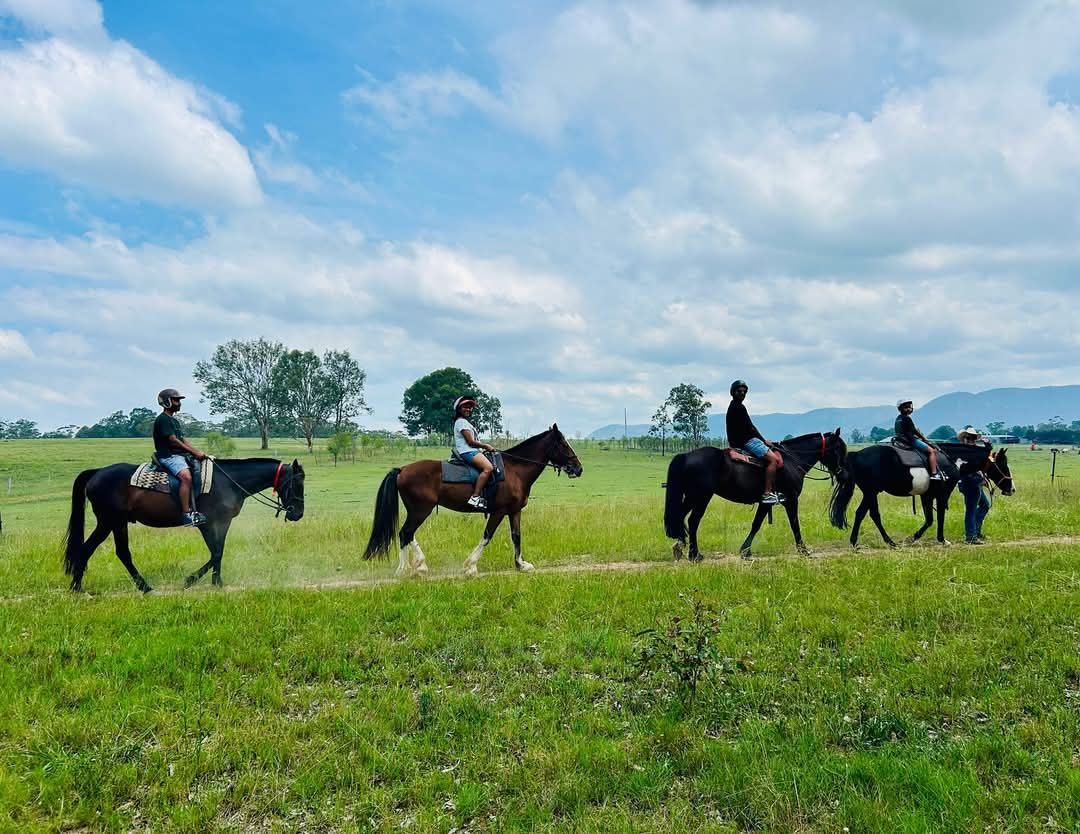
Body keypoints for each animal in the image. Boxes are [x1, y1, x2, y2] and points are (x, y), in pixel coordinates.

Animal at [63, 458, 305, 592]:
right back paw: (77, 587)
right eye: (296, 483)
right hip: (108, 521)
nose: (298, 513)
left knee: (122, 553)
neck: (228, 481)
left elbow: (218, 551)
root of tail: (97, 472)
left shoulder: (222, 523)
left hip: (119, 523)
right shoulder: (208, 523)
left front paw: (217, 582)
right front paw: (191, 580)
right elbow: (216, 552)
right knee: (87, 549)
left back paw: (144, 587)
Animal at [363, 425, 583, 576]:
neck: (515, 470)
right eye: (563, 444)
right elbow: (487, 536)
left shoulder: (514, 511)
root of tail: (402, 470)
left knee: (408, 534)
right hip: (420, 510)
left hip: (417, 511)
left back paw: (419, 565)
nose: (579, 468)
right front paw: (470, 566)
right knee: (405, 533)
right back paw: (406, 569)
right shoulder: (498, 511)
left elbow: (516, 536)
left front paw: (521, 565)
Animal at [663, 430, 847, 561]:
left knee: (680, 517)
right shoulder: (791, 500)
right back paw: (694, 555)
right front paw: (803, 550)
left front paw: (745, 551)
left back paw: (679, 547)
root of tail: (686, 455)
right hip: (701, 497)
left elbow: (756, 524)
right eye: (838, 449)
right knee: (693, 521)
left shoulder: (766, 503)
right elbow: (794, 524)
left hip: (692, 497)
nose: (843, 473)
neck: (792, 460)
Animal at [828, 443, 1014, 548]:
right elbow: (939, 516)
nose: (1012, 489)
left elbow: (929, 518)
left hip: (871, 493)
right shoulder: (942, 494)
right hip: (871, 492)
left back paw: (883, 541)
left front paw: (915, 537)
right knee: (865, 513)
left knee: (869, 514)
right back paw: (867, 542)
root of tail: (856, 454)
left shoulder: (927, 495)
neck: (951, 461)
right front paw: (941, 540)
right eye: (1003, 464)